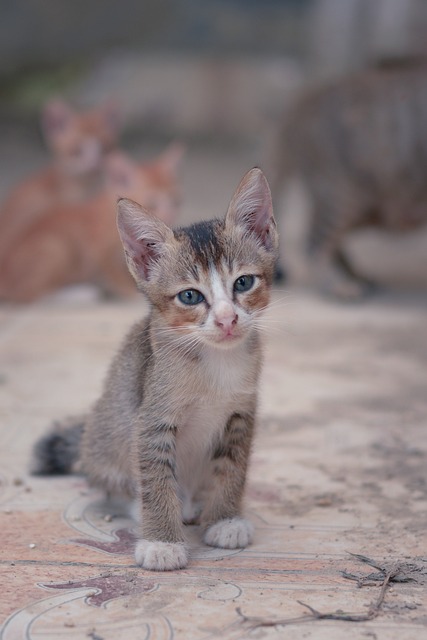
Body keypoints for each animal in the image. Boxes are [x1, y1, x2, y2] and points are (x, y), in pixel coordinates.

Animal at [31, 169, 280, 568]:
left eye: (243, 282)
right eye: (190, 296)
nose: (227, 320)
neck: (215, 362)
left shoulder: (242, 412)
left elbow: (233, 468)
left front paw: (225, 519)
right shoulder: (150, 418)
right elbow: (157, 478)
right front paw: (161, 542)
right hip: (107, 437)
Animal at [270, 58, 427, 298]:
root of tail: (302, 99)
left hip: (360, 209)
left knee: (334, 246)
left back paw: (355, 276)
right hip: (341, 198)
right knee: (314, 244)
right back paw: (339, 285)